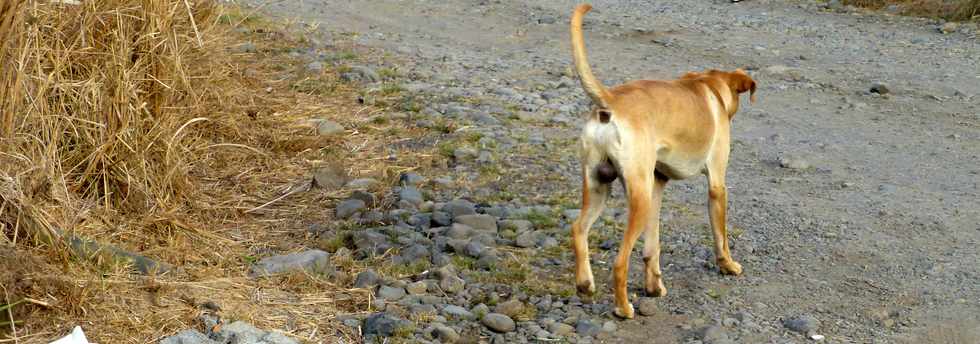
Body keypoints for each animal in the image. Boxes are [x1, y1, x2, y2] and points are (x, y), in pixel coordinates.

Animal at [568, 4, 756, 318]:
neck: (710, 87)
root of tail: (610, 101)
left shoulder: (657, 185)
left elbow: (651, 248)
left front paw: (654, 286)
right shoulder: (717, 185)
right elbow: (721, 236)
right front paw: (728, 265)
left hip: (598, 187)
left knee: (578, 229)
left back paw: (585, 283)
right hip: (638, 197)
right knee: (619, 262)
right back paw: (623, 308)